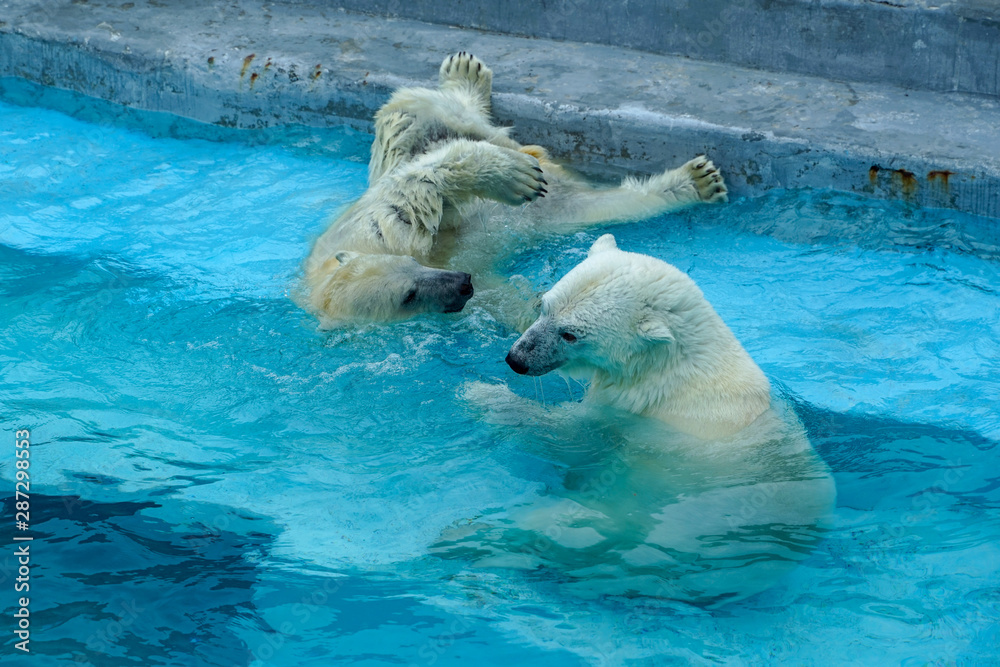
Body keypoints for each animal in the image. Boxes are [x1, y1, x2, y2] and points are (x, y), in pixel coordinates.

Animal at [303, 52, 728, 325]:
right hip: (565, 211)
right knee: (618, 204)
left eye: (409, 264)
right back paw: (693, 184)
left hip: (427, 133)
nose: (461, 283)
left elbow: (419, 189)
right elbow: (505, 301)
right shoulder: (476, 287)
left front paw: (509, 178)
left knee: (414, 114)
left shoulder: (376, 227)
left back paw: (466, 79)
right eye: (407, 298)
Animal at [437, 235, 835, 604]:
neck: (675, 366)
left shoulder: (636, 413)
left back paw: (466, 539)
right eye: (544, 307)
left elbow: (570, 439)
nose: (516, 359)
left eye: (570, 334)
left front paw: (483, 395)